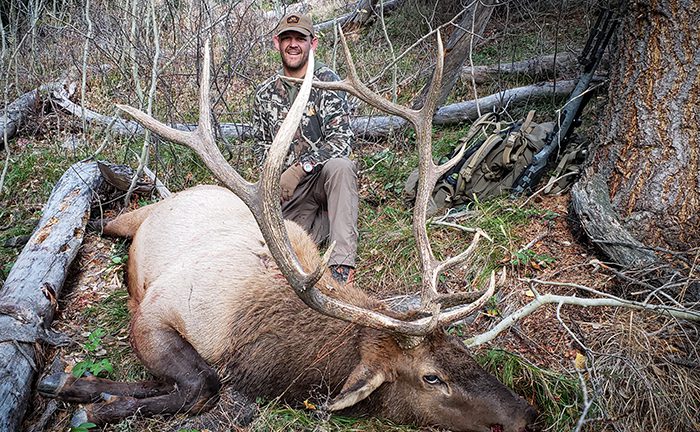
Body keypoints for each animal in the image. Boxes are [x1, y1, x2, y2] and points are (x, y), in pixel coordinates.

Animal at [38, 29, 538, 432]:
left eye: (460, 348)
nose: (528, 414)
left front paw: (79, 385)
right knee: (104, 220)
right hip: (135, 219)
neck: (249, 338)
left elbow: (194, 383)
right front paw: (88, 398)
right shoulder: (156, 311)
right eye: (432, 376)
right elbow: (203, 383)